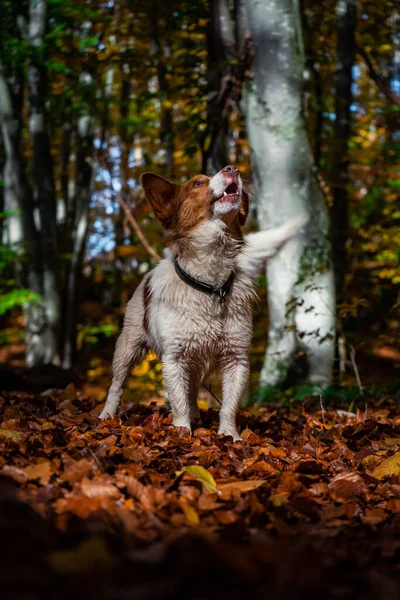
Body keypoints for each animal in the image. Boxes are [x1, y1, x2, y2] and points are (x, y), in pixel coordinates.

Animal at [100, 165, 306, 440]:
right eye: (197, 183)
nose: (232, 168)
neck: (211, 284)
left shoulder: (236, 359)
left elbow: (228, 405)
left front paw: (230, 436)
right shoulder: (174, 359)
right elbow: (177, 401)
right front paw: (181, 431)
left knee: (192, 390)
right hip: (128, 346)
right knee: (117, 384)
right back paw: (107, 415)